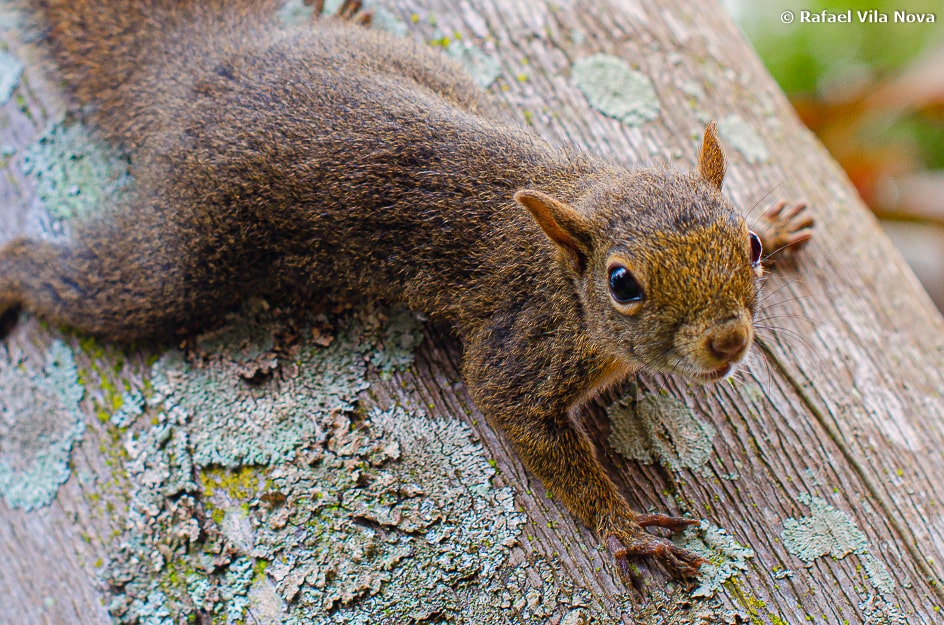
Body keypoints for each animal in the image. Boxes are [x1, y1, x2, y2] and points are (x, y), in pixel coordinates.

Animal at [0, 0, 812, 580]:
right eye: (622, 283)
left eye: (749, 247)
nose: (729, 340)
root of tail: (215, 64)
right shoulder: (520, 347)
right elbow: (516, 415)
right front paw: (623, 527)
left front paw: (779, 216)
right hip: (185, 248)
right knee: (102, 283)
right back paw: (11, 270)